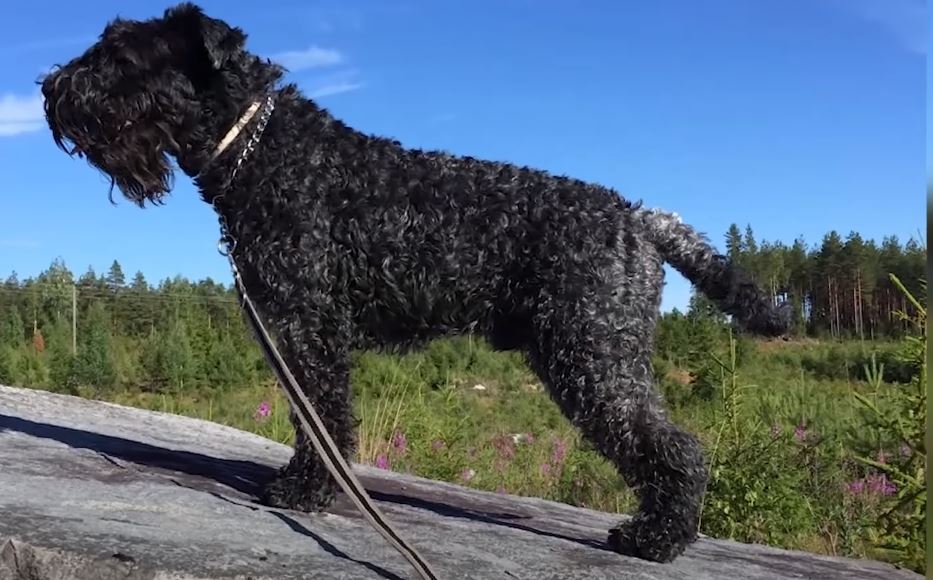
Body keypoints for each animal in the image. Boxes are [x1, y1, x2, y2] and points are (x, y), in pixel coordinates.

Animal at [41, 1, 788, 560]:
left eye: (120, 55)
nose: (50, 89)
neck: (266, 153)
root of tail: (641, 219)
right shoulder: (296, 329)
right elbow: (315, 417)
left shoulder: (308, 327)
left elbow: (322, 418)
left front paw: (305, 492)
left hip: (593, 358)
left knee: (676, 447)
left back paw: (656, 538)